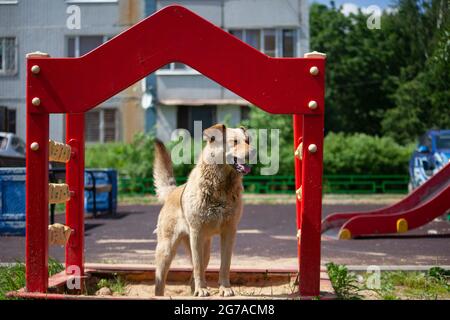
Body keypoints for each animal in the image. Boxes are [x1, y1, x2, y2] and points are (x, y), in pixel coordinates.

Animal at [153, 124, 253, 296]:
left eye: (247, 141)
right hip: (167, 250)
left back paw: (198, 289)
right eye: (234, 142)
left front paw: (225, 288)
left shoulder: (229, 232)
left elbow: (225, 265)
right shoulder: (197, 233)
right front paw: (203, 289)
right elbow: (198, 268)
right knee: (162, 280)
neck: (221, 186)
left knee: (193, 276)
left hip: (205, 251)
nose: (253, 152)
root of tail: (172, 192)